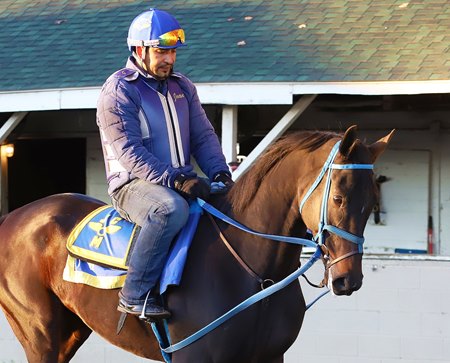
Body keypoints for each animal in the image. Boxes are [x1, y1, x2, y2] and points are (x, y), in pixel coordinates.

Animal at [0, 126, 394, 363]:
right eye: (339, 197)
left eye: (372, 200)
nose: (347, 279)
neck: (253, 269)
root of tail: (13, 217)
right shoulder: (195, 357)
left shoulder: (270, 356)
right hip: (40, 333)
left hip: (71, 329)